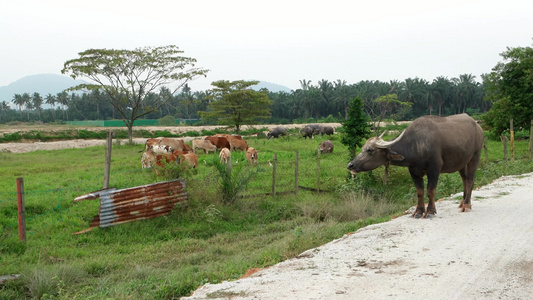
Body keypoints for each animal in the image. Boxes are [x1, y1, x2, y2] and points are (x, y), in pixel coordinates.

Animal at [344, 114, 482, 218]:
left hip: (475, 157)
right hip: (462, 163)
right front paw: (418, 212)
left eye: (370, 150)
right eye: (362, 148)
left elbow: (430, 190)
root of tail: (478, 127)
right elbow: (420, 191)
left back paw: (467, 205)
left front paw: (430, 211)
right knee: (464, 180)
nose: (350, 165)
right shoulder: (413, 171)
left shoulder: (434, 169)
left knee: (470, 179)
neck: (416, 144)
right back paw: (462, 203)